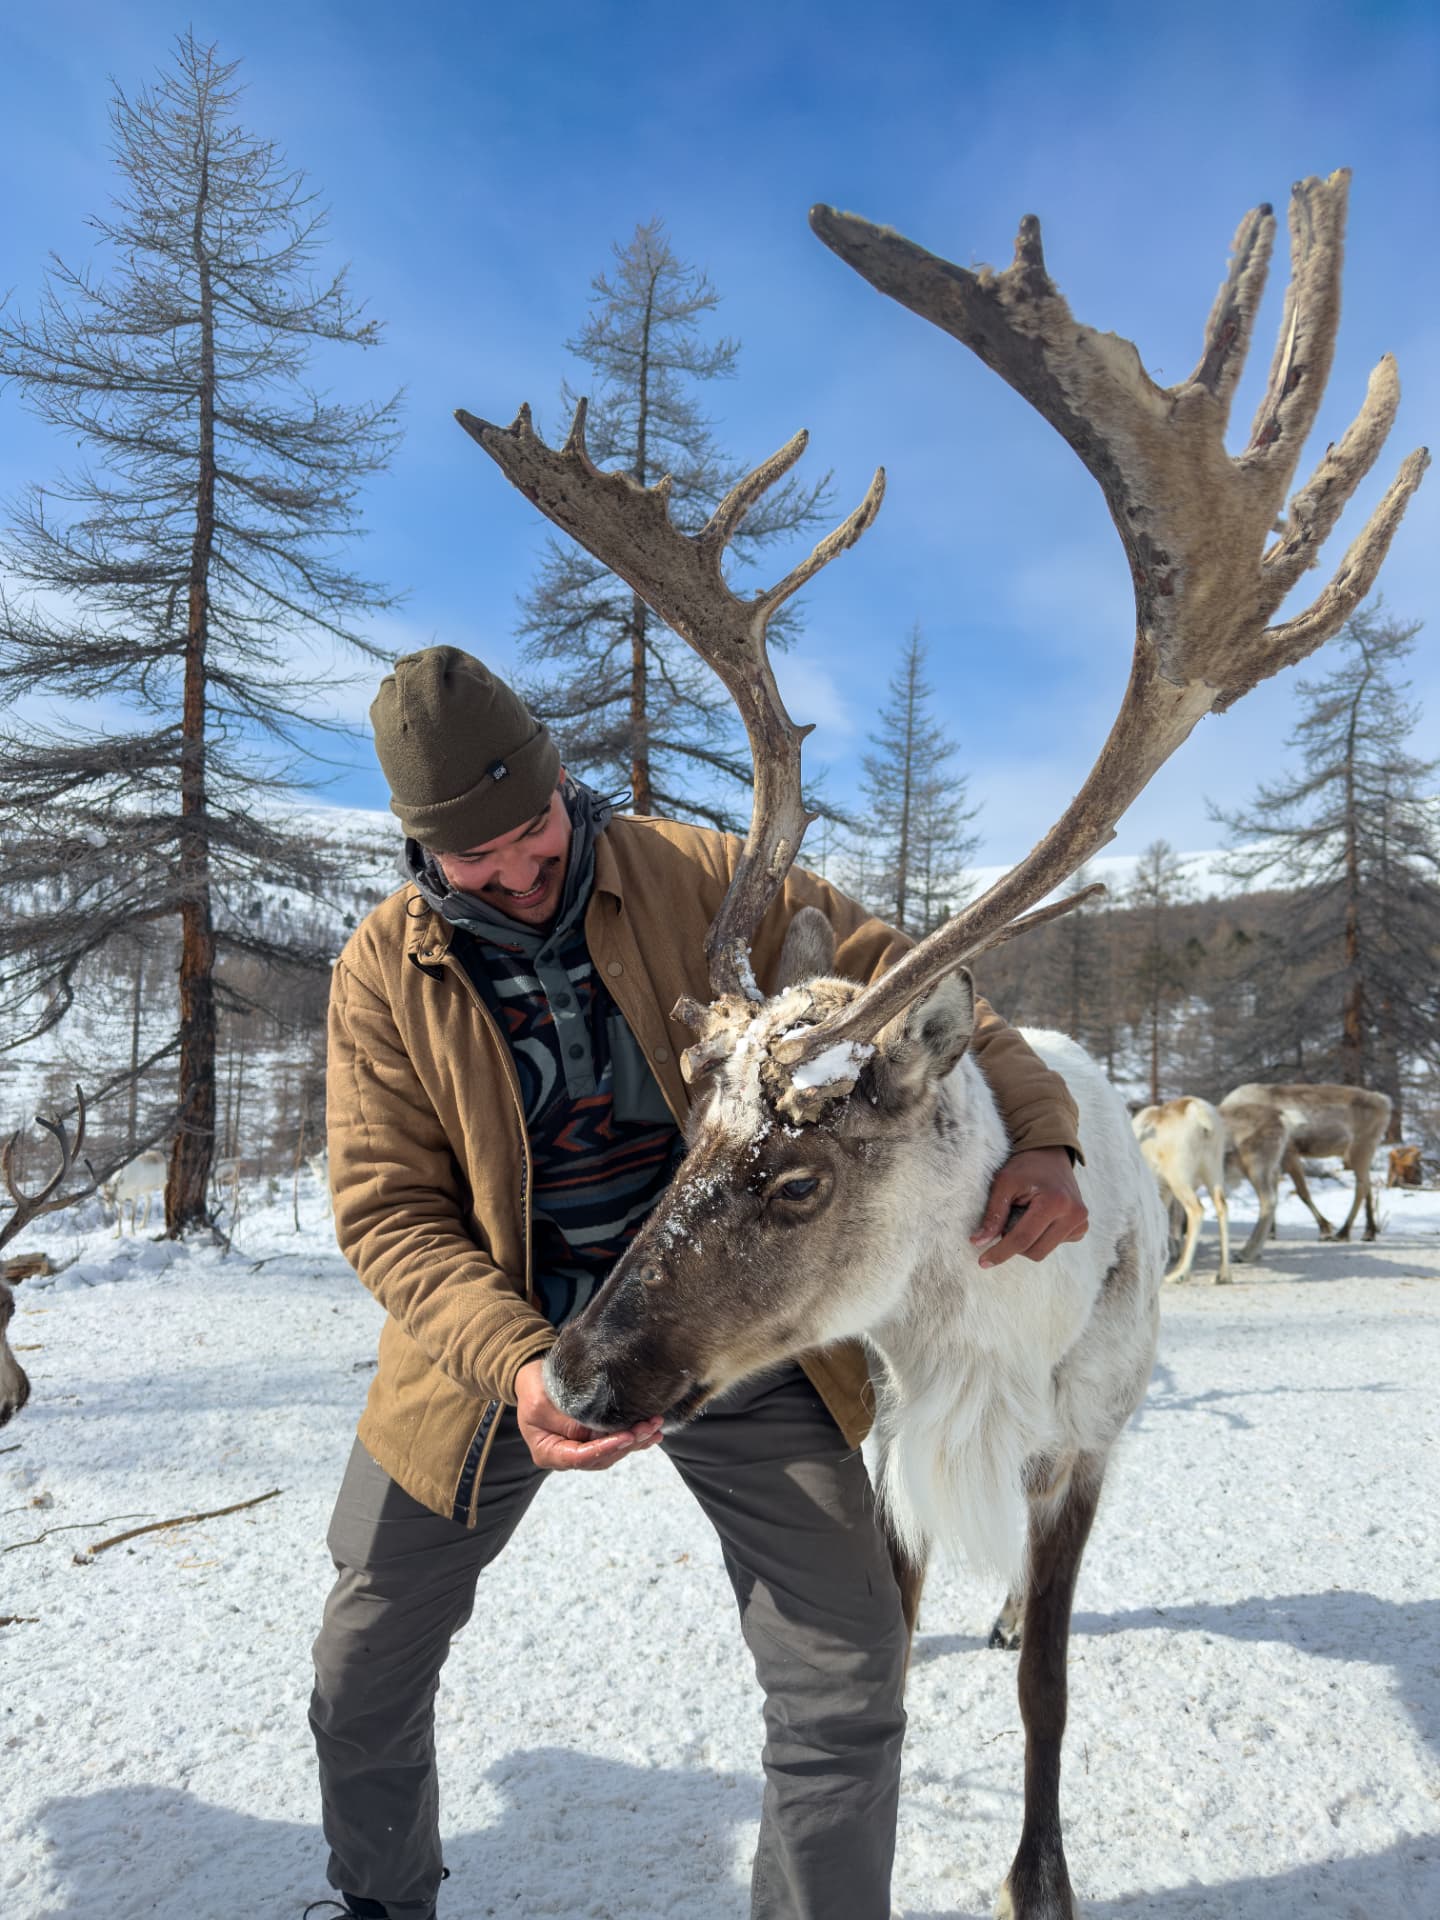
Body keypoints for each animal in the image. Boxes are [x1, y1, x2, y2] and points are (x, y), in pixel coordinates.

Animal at [1131, 1096, 1233, 1283]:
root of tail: (1199, 1113)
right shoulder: (1163, 1192)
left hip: (1179, 1179)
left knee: (1196, 1210)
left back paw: (1178, 1274)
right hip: (1213, 1172)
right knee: (1221, 1206)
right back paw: (1223, 1274)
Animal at [1219, 1082, 1392, 1261]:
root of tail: (1384, 1101)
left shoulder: (1289, 1154)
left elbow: (1302, 1193)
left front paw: (1325, 1229)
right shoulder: (1276, 1162)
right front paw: (1270, 1233)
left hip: (1360, 1148)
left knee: (1361, 1187)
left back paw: (1343, 1232)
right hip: (1359, 1153)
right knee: (1368, 1185)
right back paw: (1368, 1232)